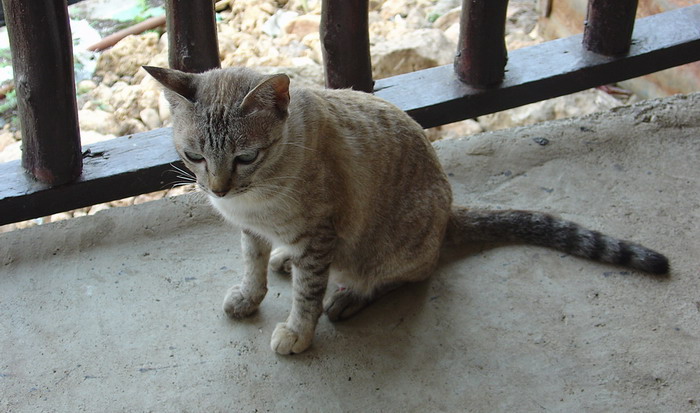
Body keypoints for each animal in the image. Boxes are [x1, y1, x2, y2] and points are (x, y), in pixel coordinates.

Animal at [142, 65, 668, 354]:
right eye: (194, 156)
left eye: (245, 157)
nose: (218, 189)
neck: (257, 201)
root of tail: (450, 210)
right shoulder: (251, 231)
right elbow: (252, 267)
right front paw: (250, 296)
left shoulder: (321, 233)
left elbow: (307, 297)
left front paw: (297, 332)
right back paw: (286, 260)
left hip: (388, 245)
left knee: (404, 274)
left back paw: (347, 297)